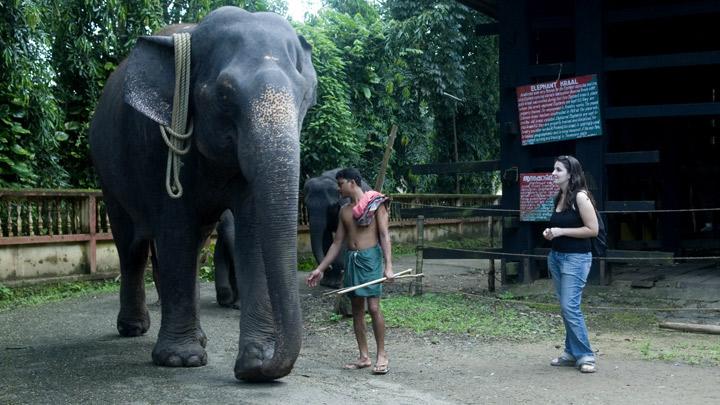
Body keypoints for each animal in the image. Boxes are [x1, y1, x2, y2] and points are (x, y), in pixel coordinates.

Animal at [88, 5, 318, 382]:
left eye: (303, 96)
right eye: (224, 94)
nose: (251, 369)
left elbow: (252, 232)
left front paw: (254, 359)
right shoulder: (157, 144)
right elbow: (175, 228)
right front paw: (182, 361)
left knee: (191, 246)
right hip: (109, 174)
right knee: (132, 246)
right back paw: (134, 329)